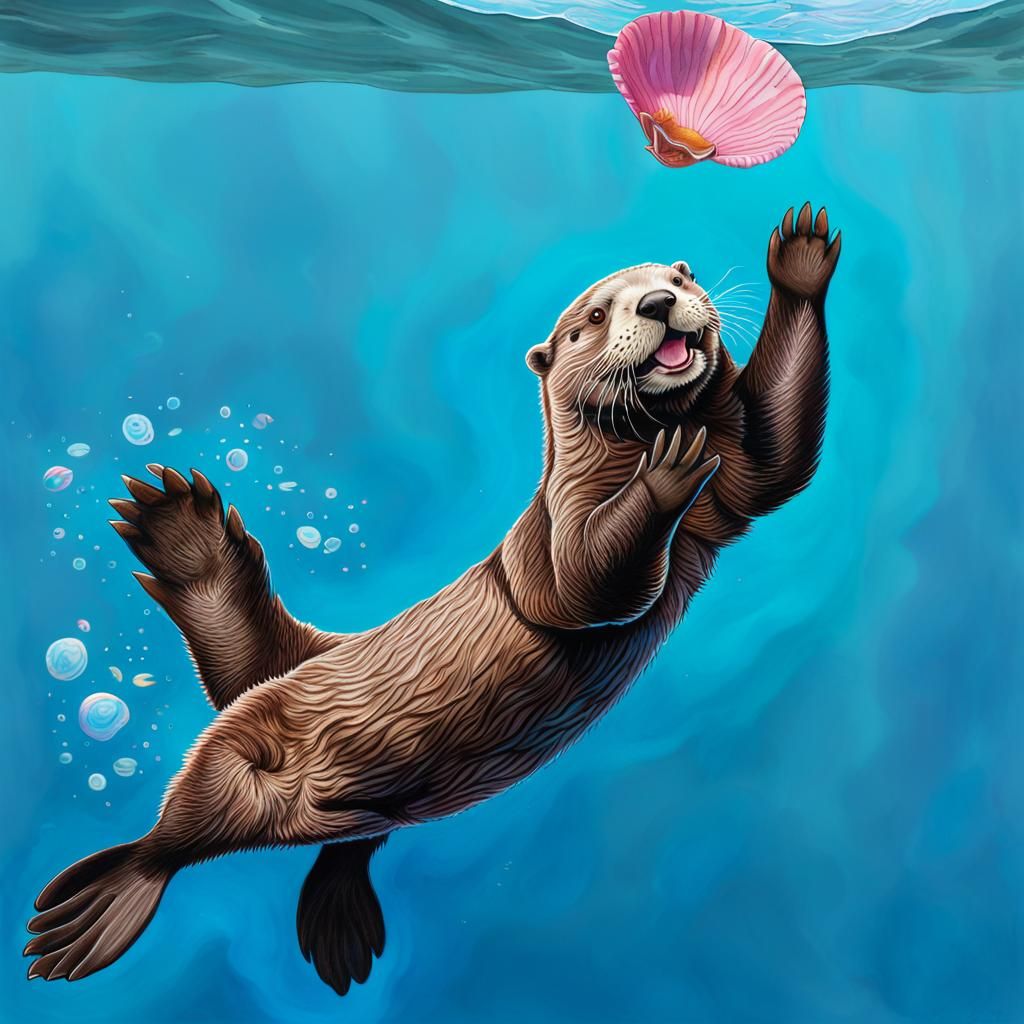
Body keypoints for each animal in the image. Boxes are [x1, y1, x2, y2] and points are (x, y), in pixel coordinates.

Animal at [26, 202, 839, 995]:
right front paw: (666, 470)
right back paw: (86, 911)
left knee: (339, 839)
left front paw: (800, 260)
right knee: (171, 835)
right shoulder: (550, 534)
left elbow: (778, 463)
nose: (661, 302)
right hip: (245, 750)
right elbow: (582, 584)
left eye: (680, 274)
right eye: (597, 314)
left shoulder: (733, 484)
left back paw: (337, 929)